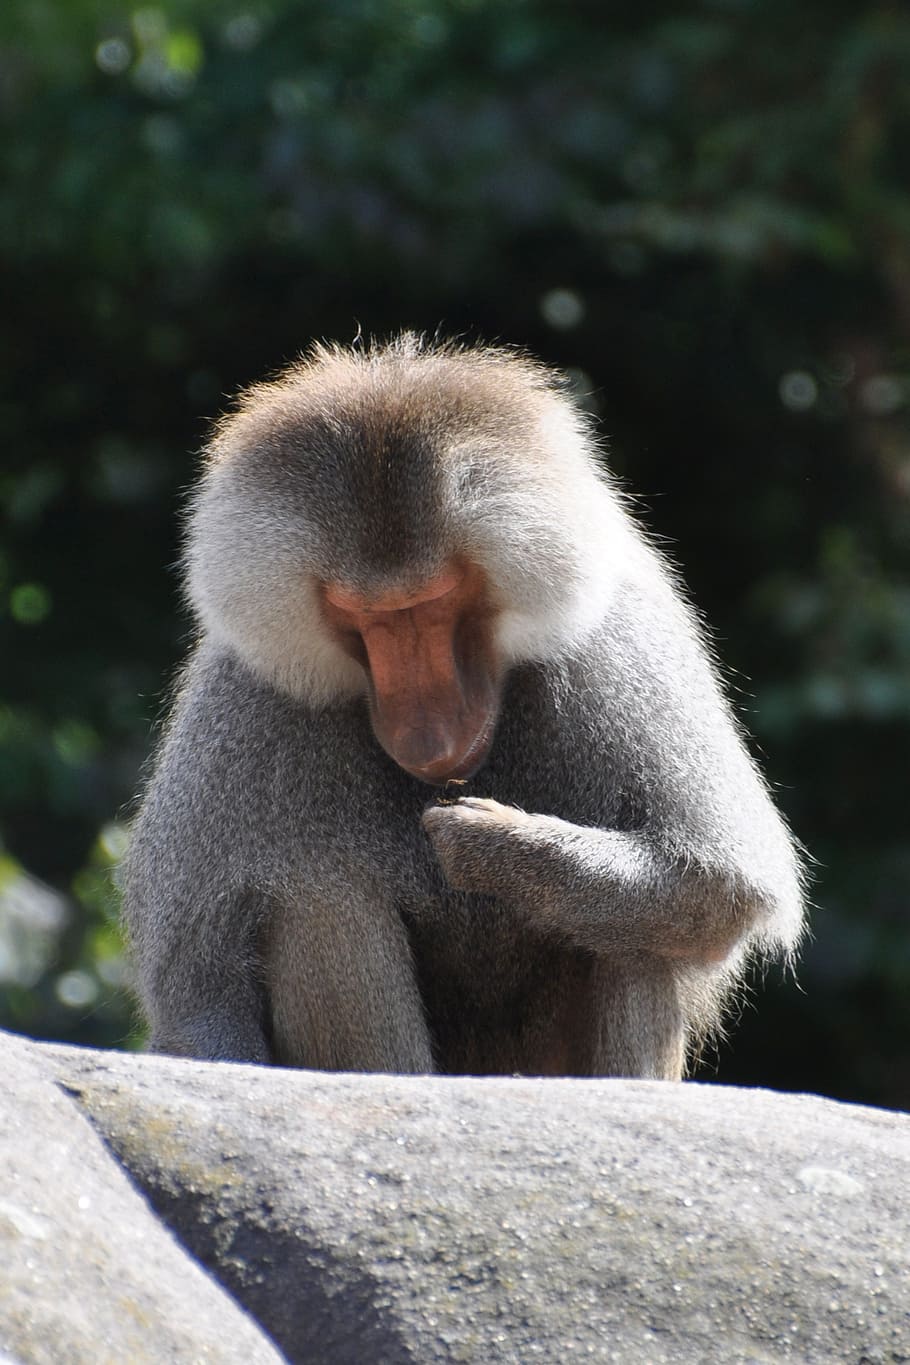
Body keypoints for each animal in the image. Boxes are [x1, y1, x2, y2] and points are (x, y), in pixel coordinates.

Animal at [121, 334, 805, 1080]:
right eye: (363, 616)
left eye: (434, 602)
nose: (430, 734)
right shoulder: (243, 697)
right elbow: (198, 998)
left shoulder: (619, 644)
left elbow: (719, 881)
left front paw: (494, 844)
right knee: (319, 896)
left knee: (640, 931)